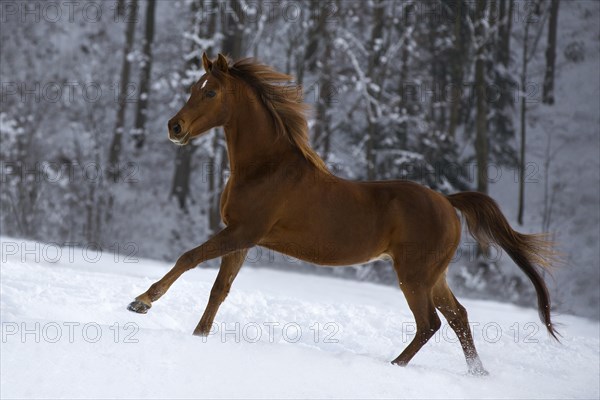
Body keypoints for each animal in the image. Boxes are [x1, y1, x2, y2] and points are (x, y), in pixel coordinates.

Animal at [129, 53, 560, 376]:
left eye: (211, 91)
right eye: (192, 88)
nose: (174, 127)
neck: (266, 168)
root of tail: (447, 202)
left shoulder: (242, 232)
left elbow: (189, 257)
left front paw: (142, 302)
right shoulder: (242, 238)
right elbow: (219, 290)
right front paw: (198, 337)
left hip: (414, 274)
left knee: (431, 323)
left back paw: (394, 365)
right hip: (433, 275)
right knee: (459, 317)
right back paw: (478, 374)